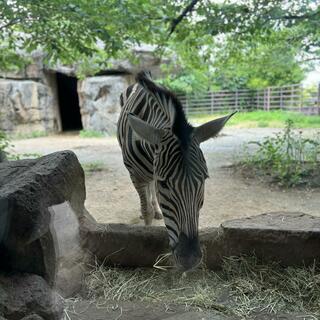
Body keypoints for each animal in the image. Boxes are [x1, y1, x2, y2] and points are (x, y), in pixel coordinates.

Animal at [117, 72, 235, 270]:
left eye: (204, 179)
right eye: (164, 183)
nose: (190, 259)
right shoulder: (136, 176)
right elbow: (146, 209)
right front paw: (142, 233)